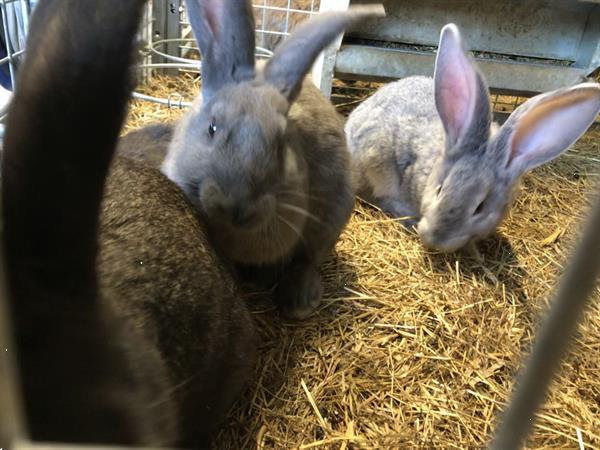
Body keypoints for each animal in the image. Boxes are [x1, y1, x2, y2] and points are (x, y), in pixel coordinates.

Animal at [161, 0, 384, 318]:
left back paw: (300, 301)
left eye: (280, 144)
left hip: (335, 216)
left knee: (308, 260)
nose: (237, 206)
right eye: (212, 128)